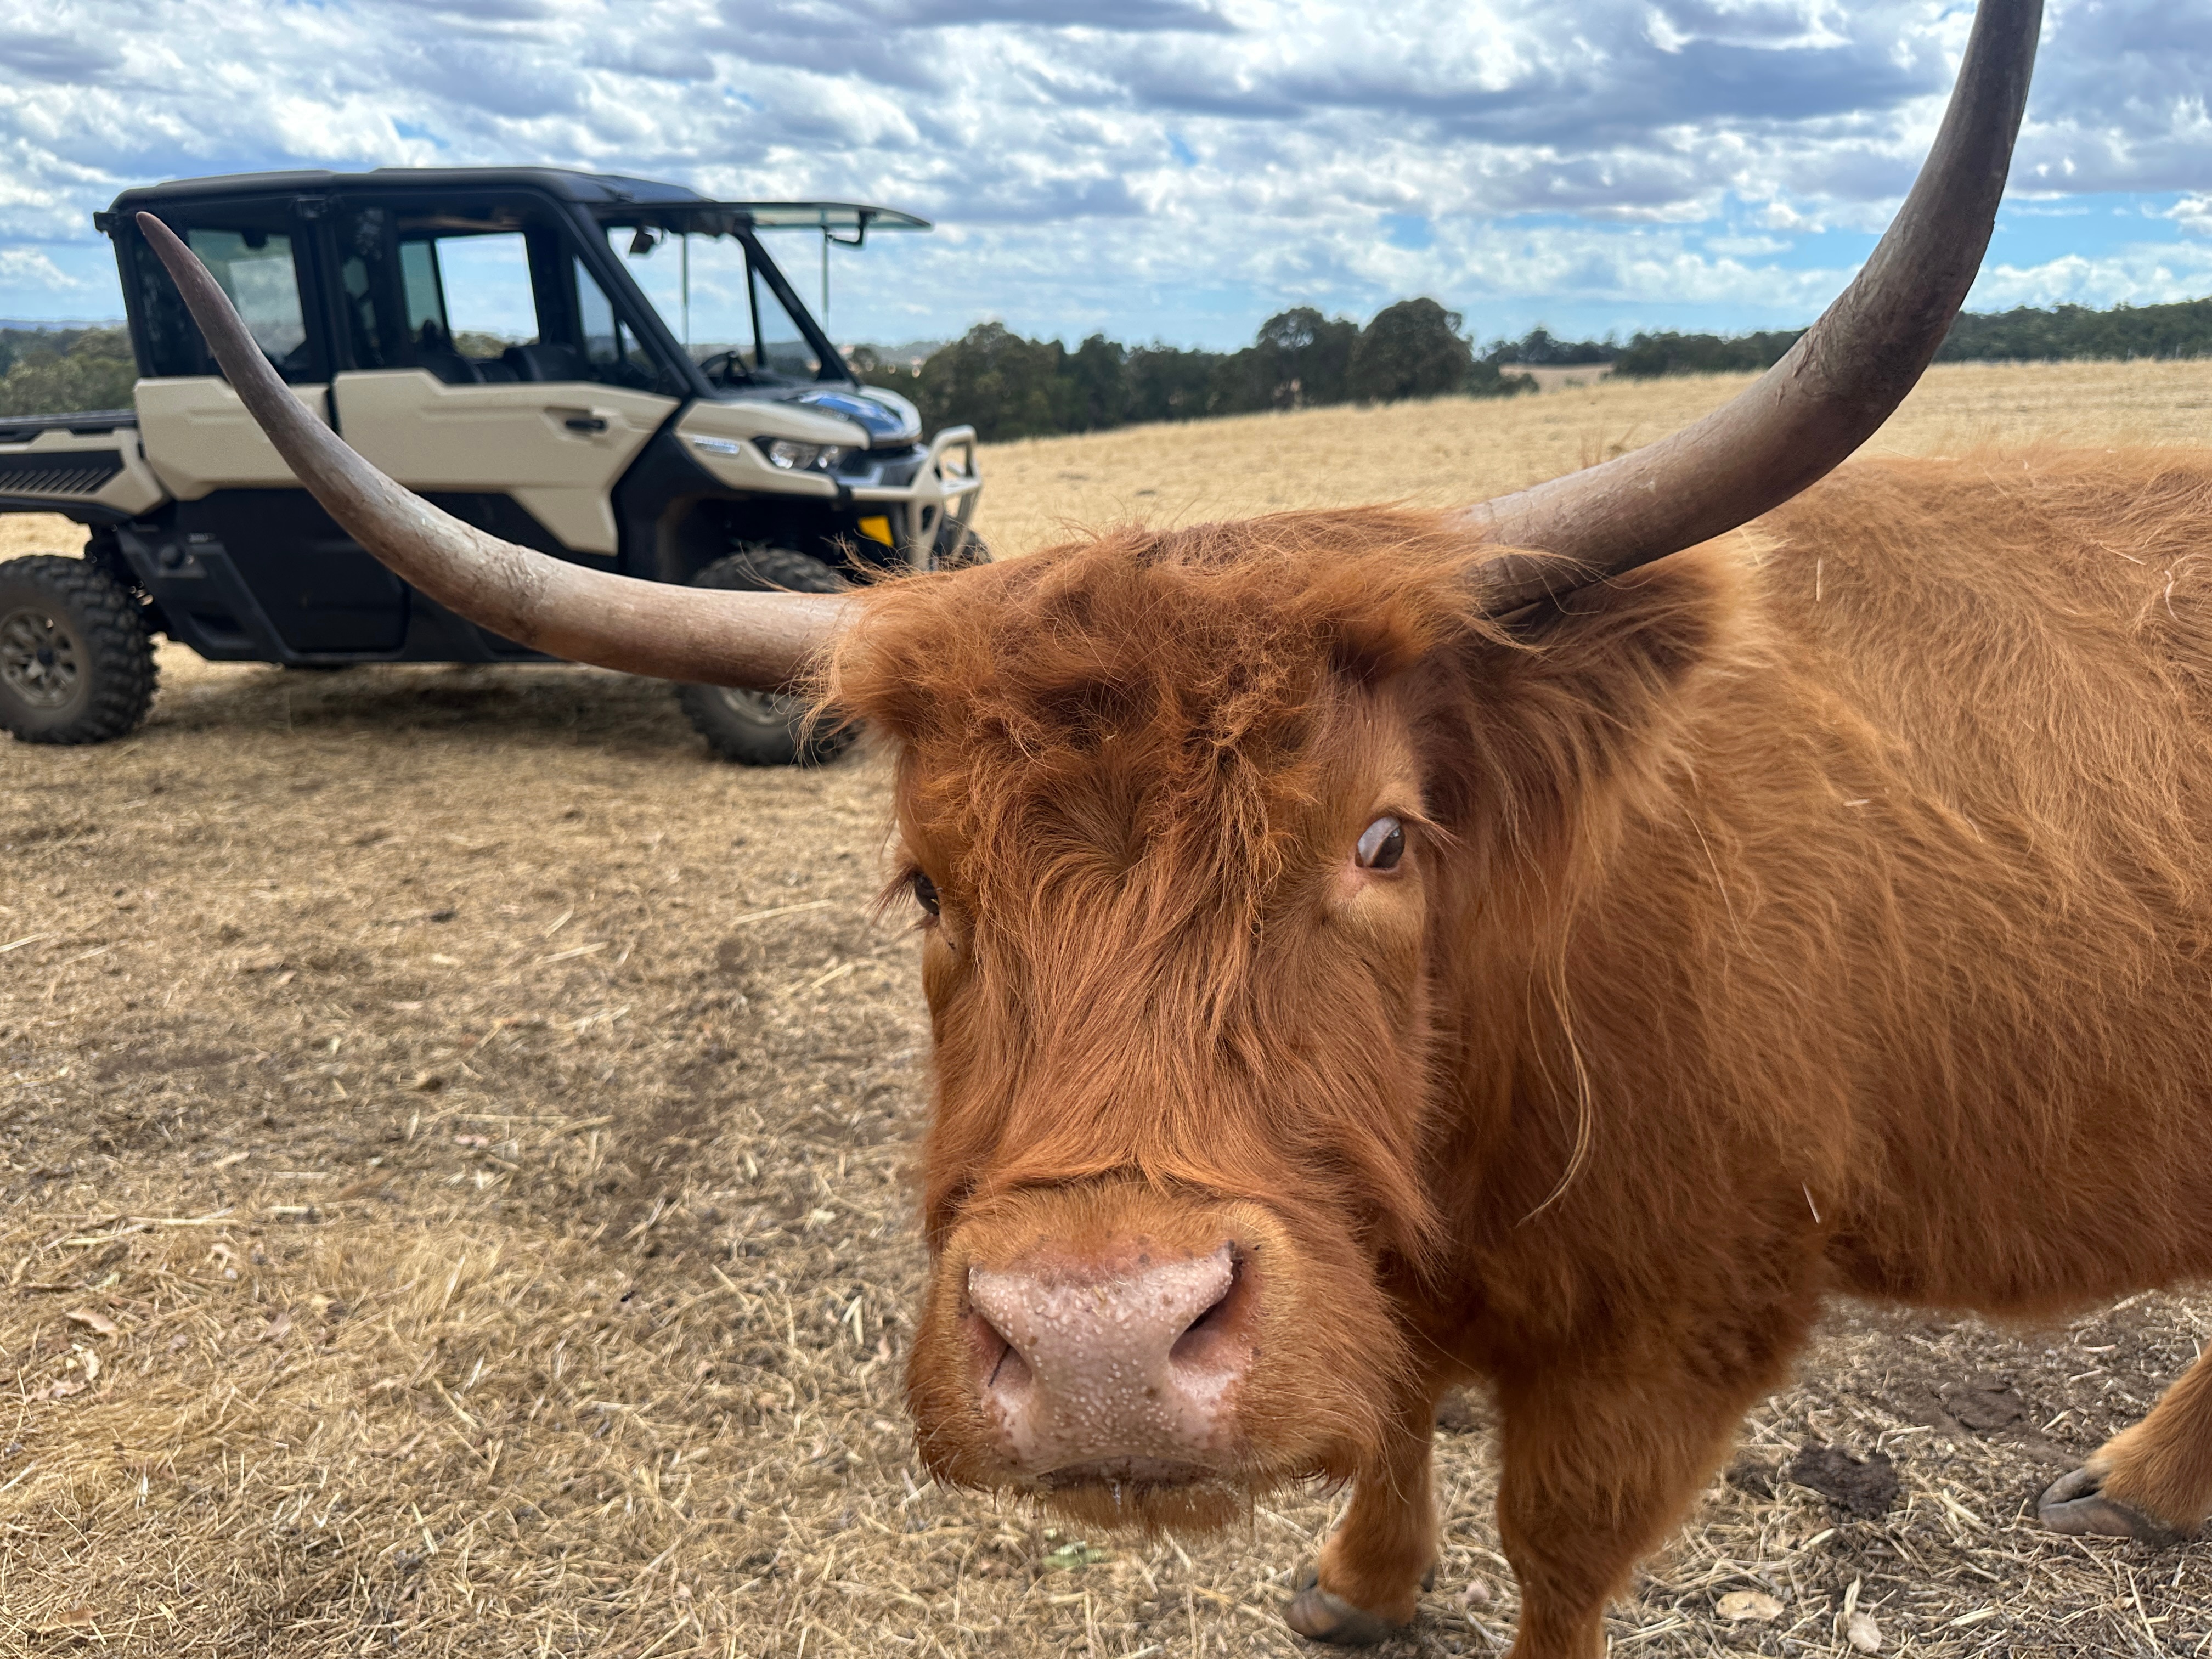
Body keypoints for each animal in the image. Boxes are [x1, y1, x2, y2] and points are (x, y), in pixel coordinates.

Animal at [139, 3, 2212, 1652]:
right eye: (926, 884)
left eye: (1383, 842)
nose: (1099, 1348)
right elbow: (1394, 1410)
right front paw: (1357, 1588)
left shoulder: (1675, 1325)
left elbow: (1558, 1557)